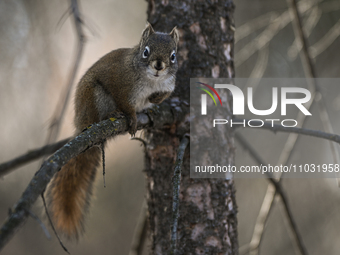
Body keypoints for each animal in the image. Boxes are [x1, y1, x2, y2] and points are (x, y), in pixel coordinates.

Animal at [46, 23, 179, 239]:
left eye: (174, 55)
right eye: (146, 51)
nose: (159, 66)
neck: (152, 80)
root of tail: (80, 123)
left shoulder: (168, 85)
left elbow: (165, 94)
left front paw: (155, 100)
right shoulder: (121, 85)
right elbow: (125, 103)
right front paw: (132, 118)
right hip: (94, 98)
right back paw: (113, 115)